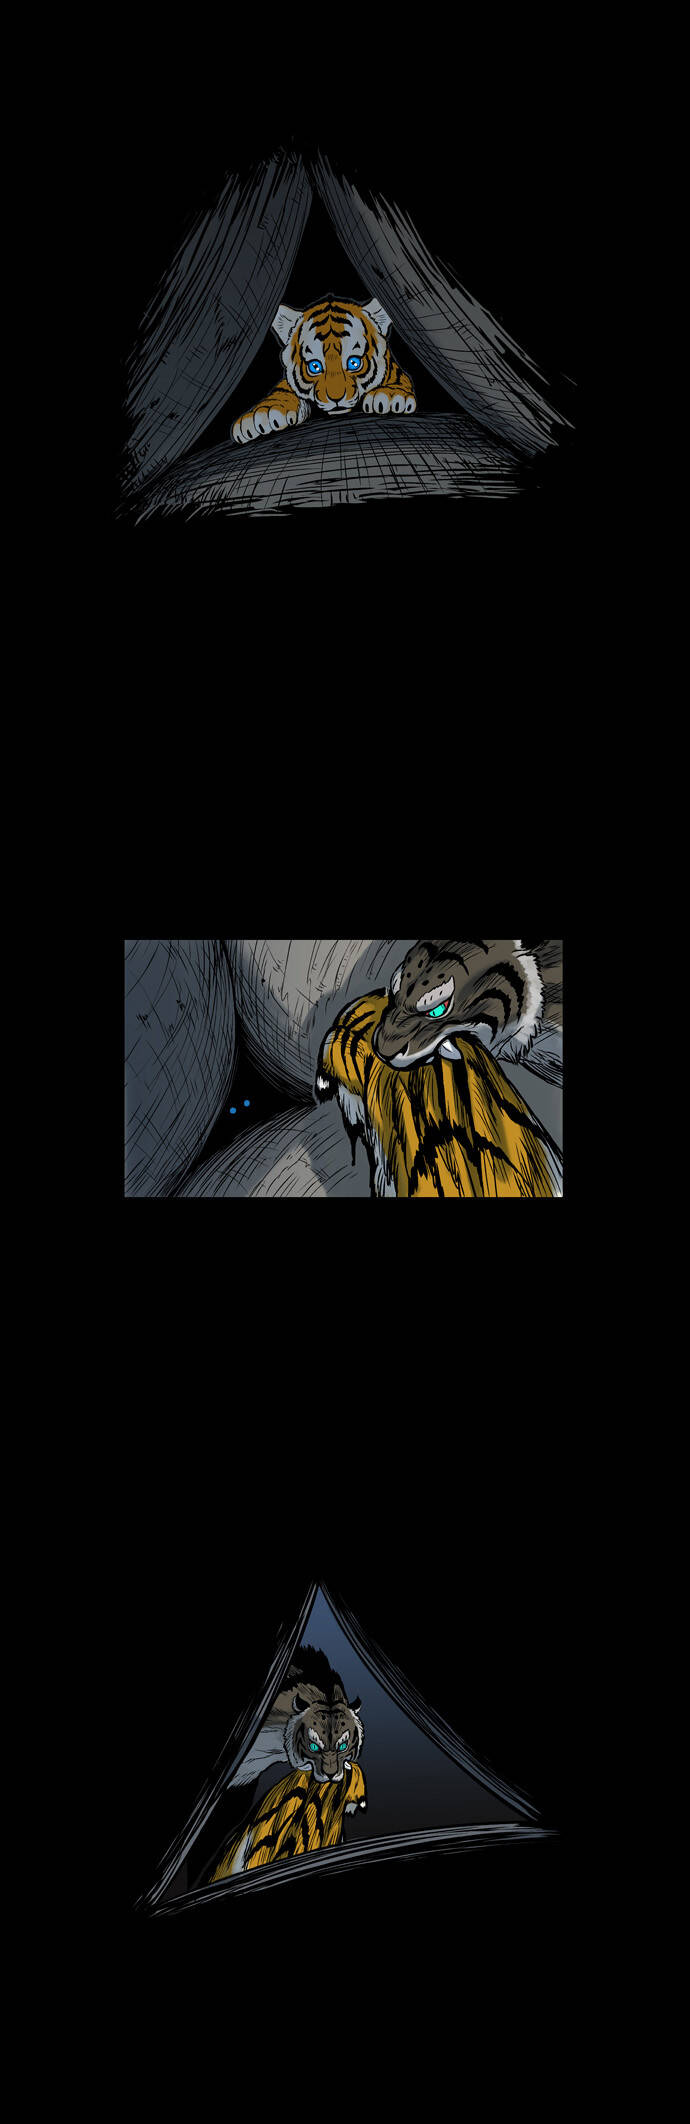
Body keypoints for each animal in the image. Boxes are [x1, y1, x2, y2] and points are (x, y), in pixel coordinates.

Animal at [232, 294, 416, 443]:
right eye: (315, 366)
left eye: (354, 363)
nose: (336, 399)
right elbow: (281, 392)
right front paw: (260, 415)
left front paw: (390, 397)